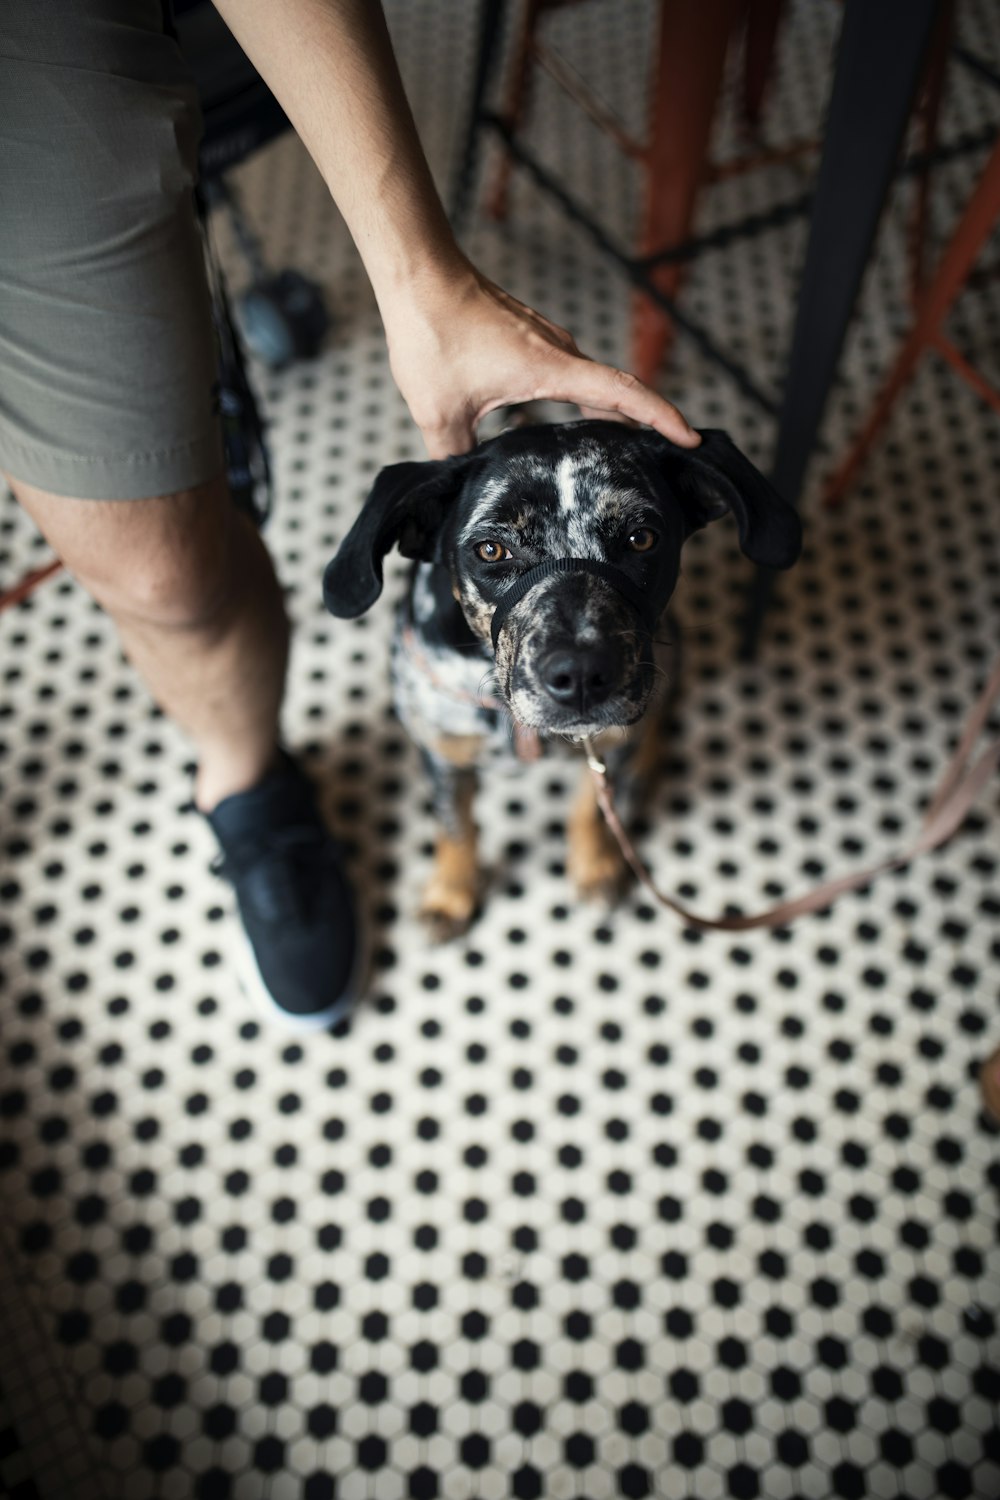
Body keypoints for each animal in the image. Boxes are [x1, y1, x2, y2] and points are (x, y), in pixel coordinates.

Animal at [325, 423, 803, 936]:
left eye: (641, 538)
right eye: (491, 549)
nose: (580, 675)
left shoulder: (607, 746)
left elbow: (590, 809)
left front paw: (596, 867)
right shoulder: (442, 753)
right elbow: (455, 828)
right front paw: (449, 895)